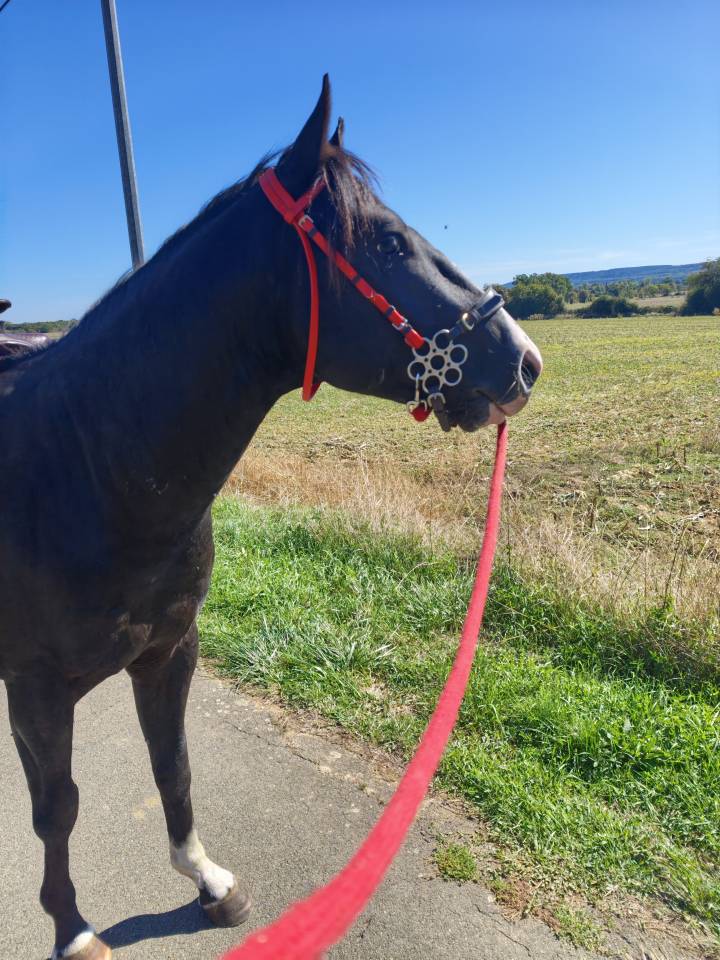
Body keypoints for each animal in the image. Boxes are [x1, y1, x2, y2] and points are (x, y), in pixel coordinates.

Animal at [0, 77, 542, 960]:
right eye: (387, 241)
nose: (525, 359)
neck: (84, 461)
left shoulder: (169, 653)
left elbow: (173, 765)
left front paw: (207, 879)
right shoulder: (37, 688)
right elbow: (59, 807)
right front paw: (73, 928)